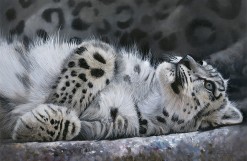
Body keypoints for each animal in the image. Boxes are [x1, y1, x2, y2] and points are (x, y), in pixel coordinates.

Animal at [0, 35, 243, 142]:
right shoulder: (106, 52)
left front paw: (34, 122)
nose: (187, 59)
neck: (148, 98)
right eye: (201, 61)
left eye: (210, 86)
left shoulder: (103, 126)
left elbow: (74, 125)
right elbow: (99, 59)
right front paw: (62, 100)